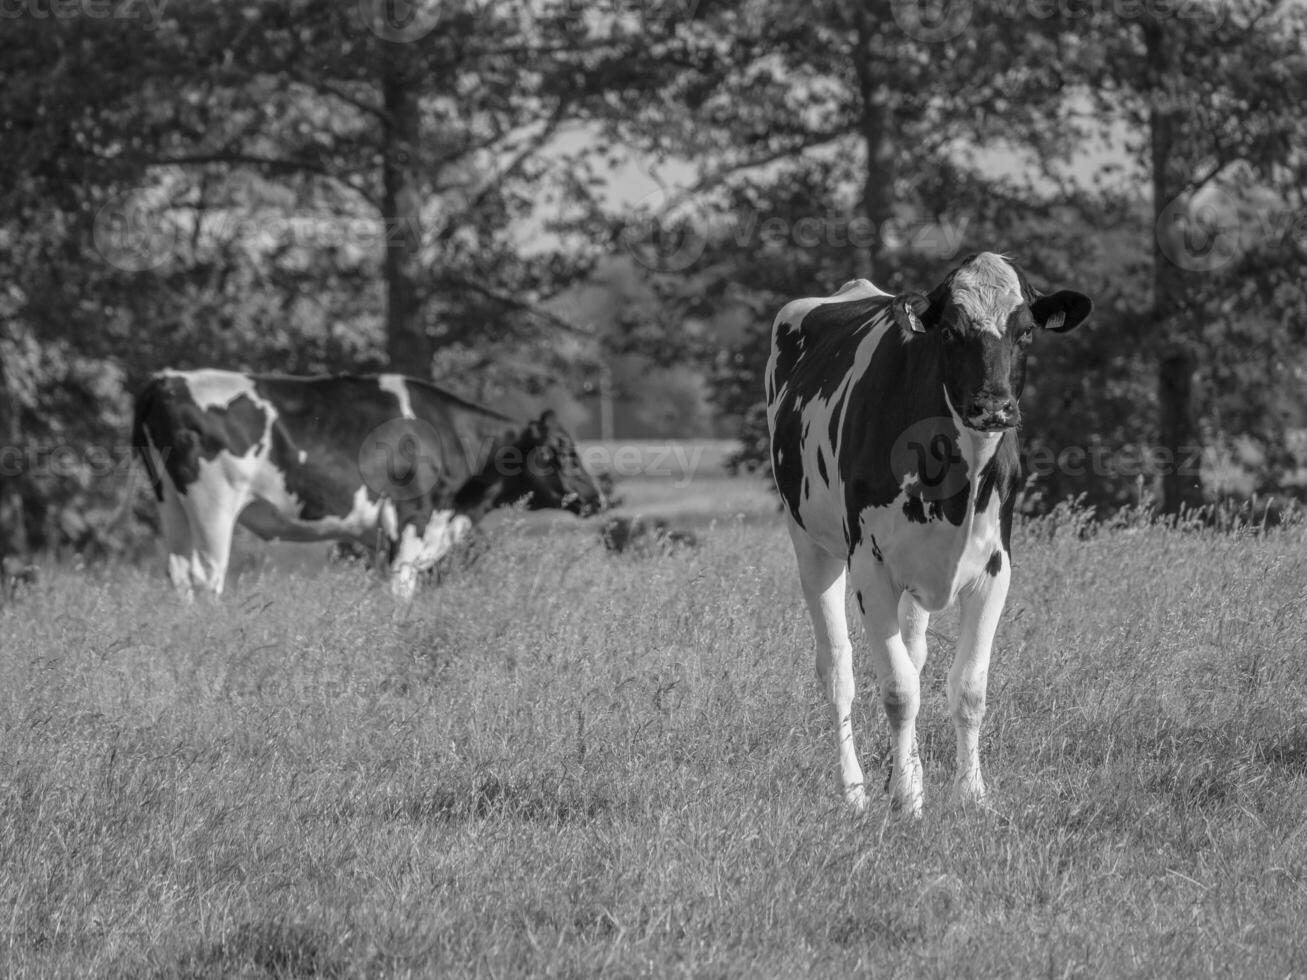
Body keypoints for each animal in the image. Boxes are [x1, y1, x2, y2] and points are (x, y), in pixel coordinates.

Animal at [132, 368, 601, 598]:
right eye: (563, 451)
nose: (595, 498)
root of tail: (166, 379)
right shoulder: (413, 517)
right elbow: (402, 589)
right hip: (212, 503)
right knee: (208, 575)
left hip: (171, 502)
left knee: (180, 573)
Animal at [763, 250, 1092, 815]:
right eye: (951, 332)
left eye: (1026, 331)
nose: (993, 406)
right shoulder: (870, 568)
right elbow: (898, 691)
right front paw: (909, 802)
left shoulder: (995, 568)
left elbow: (968, 688)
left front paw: (970, 795)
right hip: (811, 544)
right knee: (838, 671)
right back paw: (855, 791)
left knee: (913, 656)